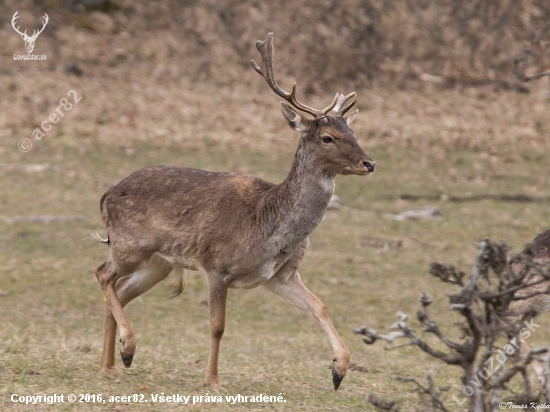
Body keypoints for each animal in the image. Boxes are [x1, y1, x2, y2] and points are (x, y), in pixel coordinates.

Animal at [96, 33, 376, 392]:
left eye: (353, 132)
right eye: (328, 137)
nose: (369, 163)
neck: (269, 226)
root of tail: (106, 195)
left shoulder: (280, 275)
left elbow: (320, 306)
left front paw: (339, 369)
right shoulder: (217, 265)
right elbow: (218, 325)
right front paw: (213, 379)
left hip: (158, 261)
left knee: (121, 290)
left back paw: (111, 365)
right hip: (129, 244)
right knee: (103, 274)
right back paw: (127, 349)